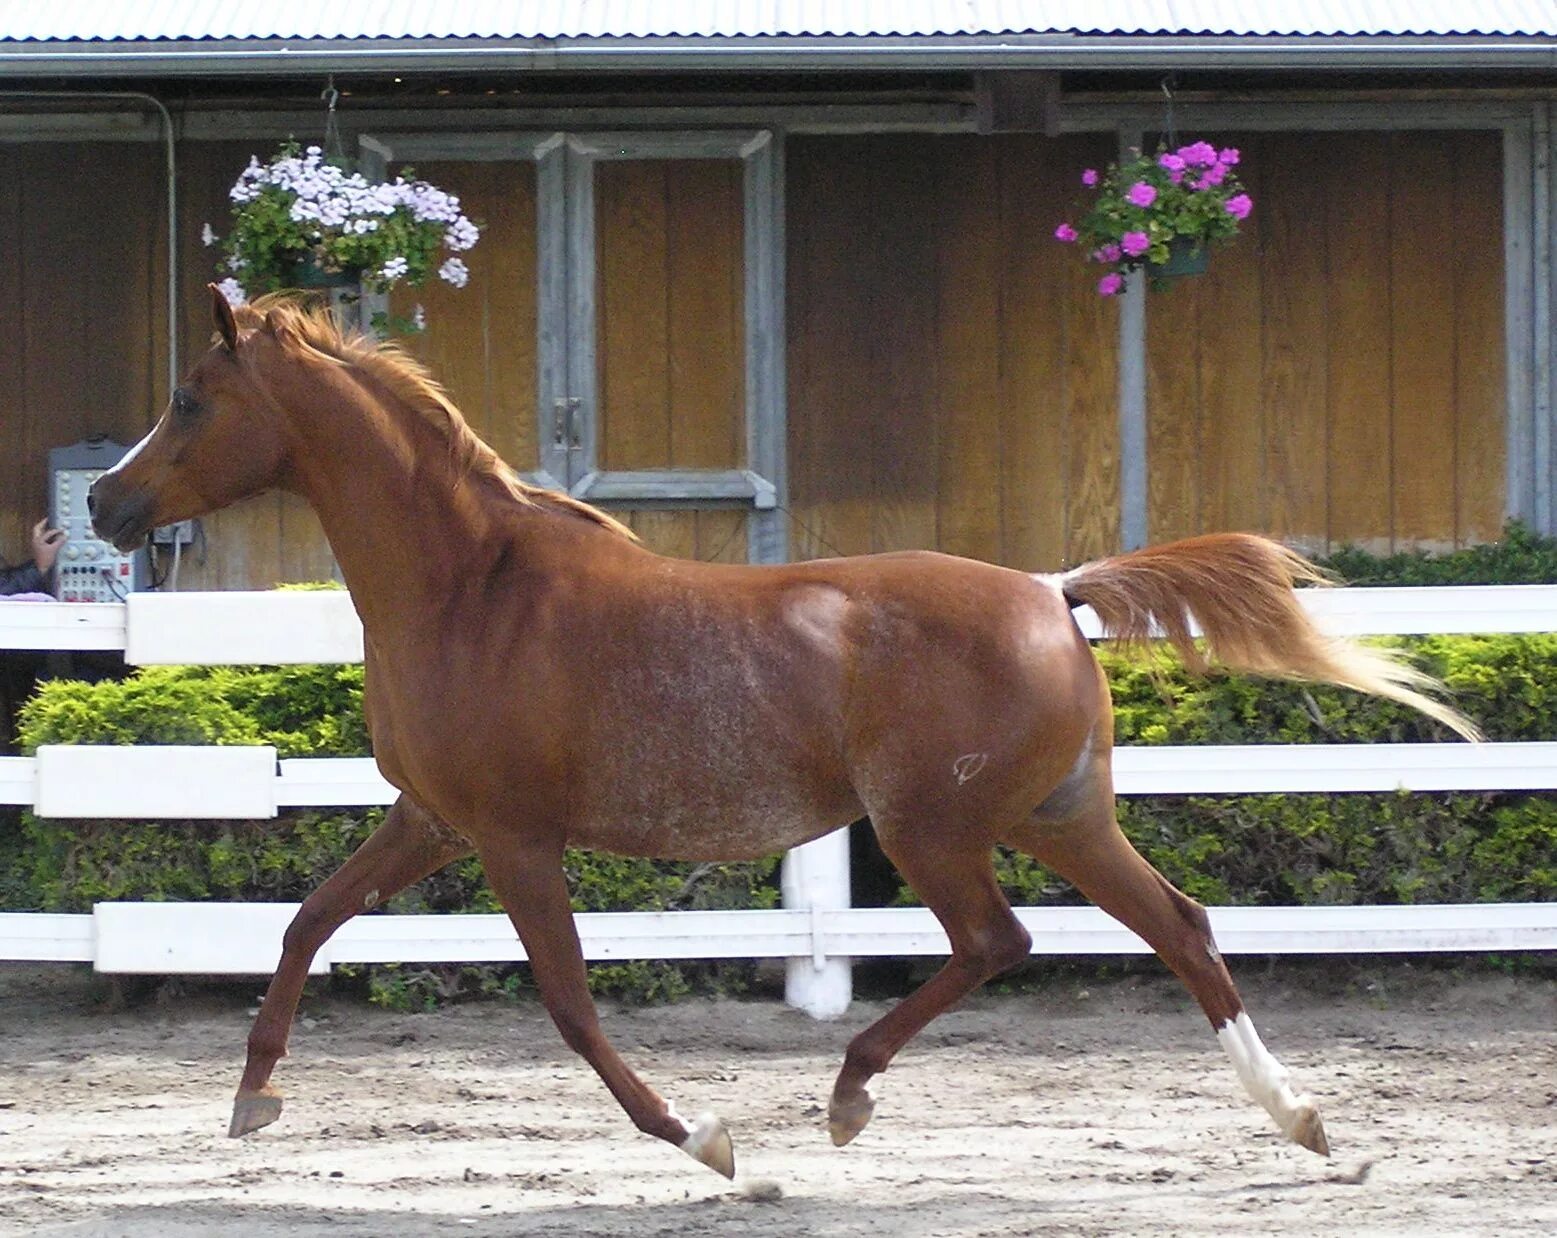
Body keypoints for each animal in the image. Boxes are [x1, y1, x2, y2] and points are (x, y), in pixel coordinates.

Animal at [91, 292, 1476, 1183]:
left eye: (188, 397)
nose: (106, 501)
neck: (470, 588)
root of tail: (1053, 590)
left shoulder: (513, 836)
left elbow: (569, 1002)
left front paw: (715, 1147)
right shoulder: (432, 818)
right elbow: (306, 922)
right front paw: (252, 1098)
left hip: (936, 828)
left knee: (1001, 939)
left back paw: (849, 1094)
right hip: (1061, 816)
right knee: (1180, 925)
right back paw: (1301, 1119)